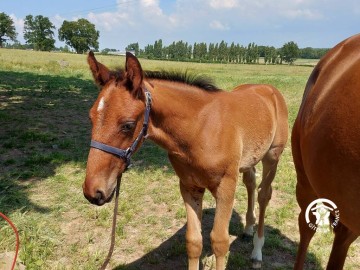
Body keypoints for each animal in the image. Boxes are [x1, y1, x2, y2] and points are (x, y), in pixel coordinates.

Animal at [83, 51, 288, 268]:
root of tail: (269, 88)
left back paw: (257, 252)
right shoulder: (189, 187)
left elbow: (219, 242)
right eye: (91, 118)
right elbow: (193, 241)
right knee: (250, 183)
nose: (93, 191)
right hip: (249, 159)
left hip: (272, 157)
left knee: (264, 194)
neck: (200, 129)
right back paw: (248, 228)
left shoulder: (226, 187)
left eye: (128, 125)